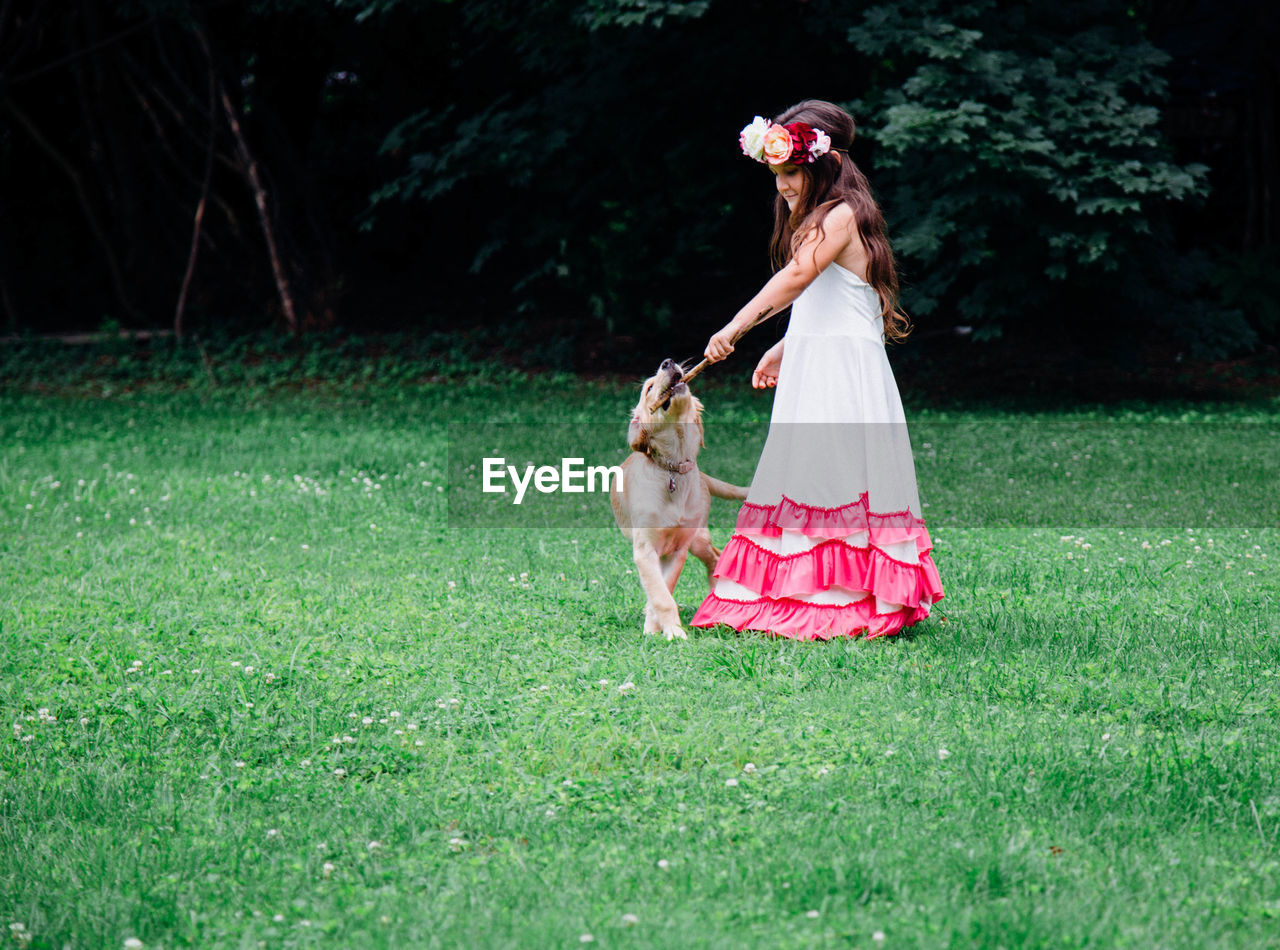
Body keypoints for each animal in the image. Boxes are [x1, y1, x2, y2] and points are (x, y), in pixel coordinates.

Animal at [609, 361, 747, 642]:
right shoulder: (645, 550)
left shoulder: (678, 550)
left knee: (715, 556)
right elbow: (660, 595)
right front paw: (667, 630)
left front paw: (662, 629)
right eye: (649, 388)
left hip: (697, 537)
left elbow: (665, 589)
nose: (668, 362)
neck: (674, 469)